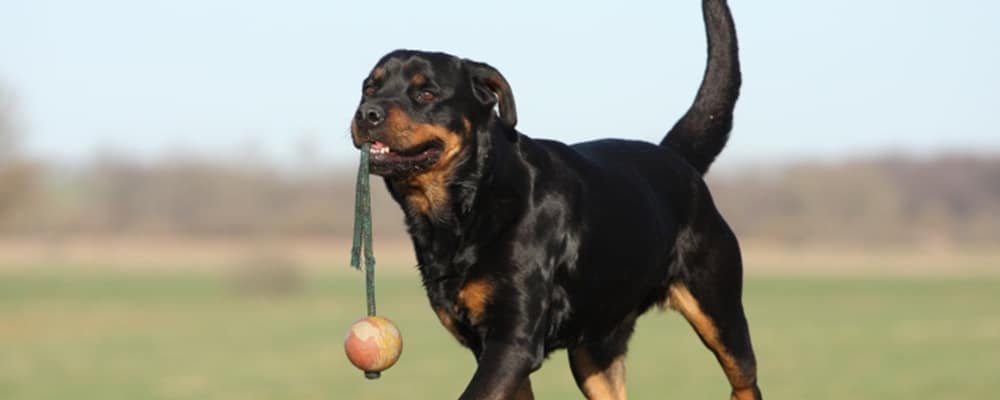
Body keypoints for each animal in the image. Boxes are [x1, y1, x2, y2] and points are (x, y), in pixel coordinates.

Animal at [352, 1, 756, 398]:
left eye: (426, 93)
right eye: (369, 88)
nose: (366, 113)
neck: (468, 205)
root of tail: (676, 158)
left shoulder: (513, 342)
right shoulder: (491, 348)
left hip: (720, 311)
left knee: (744, 379)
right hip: (595, 349)